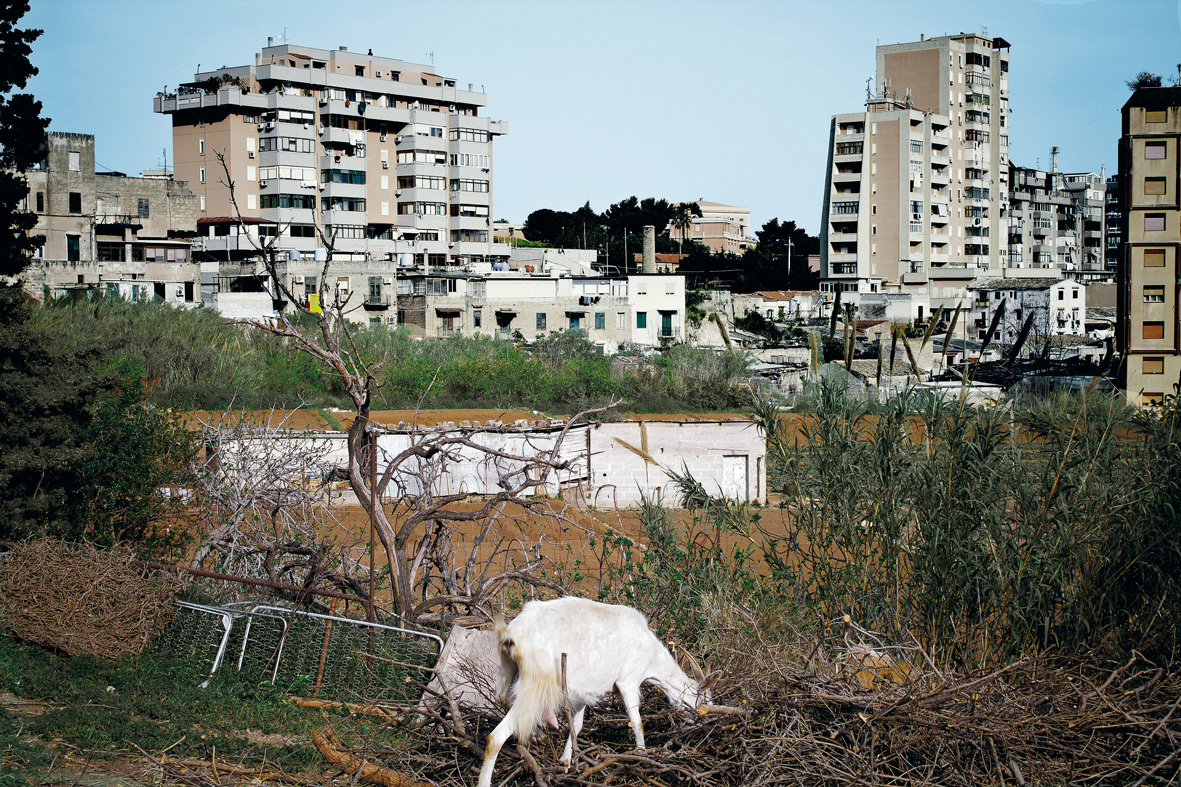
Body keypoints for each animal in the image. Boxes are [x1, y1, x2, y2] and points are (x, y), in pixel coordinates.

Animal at [472, 595, 713, 784]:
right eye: (704, 700)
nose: (701, 722)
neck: (650, 652)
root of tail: (511, 635)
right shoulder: (628, 680)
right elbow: (637, 722)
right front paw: (643, 755)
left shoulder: (581, 694)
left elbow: (576, 726)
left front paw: (566, 760)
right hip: (538, 680)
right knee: (497, 736)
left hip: (509, 669)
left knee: (504, 700)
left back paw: (539, 734)